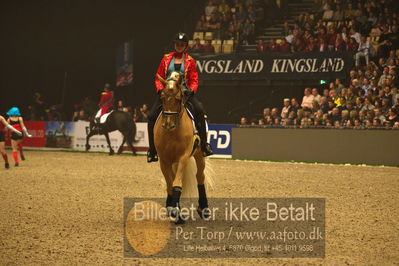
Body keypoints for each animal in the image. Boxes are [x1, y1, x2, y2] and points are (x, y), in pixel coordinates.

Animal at [155, 71, 216, 223]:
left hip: (199, 155)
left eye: (178, 99)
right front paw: (172, 208)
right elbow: (170, 184)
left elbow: (177, 184)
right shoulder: (164, 160)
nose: (168, 124)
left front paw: (176, 211)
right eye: (162, 98)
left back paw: (204, 209)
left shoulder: (183, 157)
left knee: (200, 176)